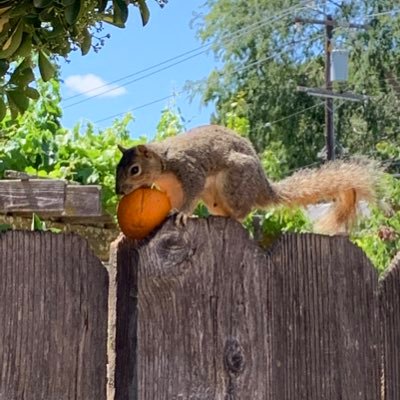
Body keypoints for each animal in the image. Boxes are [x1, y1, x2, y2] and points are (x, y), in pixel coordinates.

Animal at [115, 123, 382, 233]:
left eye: (134, 169)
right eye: (118, 167)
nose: (119, 191)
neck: (163, 164)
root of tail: (262, 187)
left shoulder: (189, 169)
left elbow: (191, 193)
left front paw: (181, 213)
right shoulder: (171, 189)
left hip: (233, 182)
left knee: (244, 212)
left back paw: (235, 218)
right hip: (214, 198)